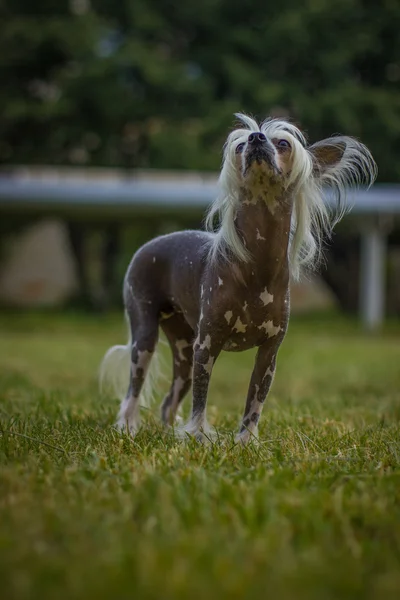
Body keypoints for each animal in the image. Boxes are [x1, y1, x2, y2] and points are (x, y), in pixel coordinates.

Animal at [101, 112, 376, 442]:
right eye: (240, 145)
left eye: (283, 143)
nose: (256, 138)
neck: (259, 267)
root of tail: (150, 243)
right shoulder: (207, 344)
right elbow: (201, 400)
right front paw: (198, 436)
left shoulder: (269, 351)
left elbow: (254, 402)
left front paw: (246, 441)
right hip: (146, 335)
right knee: (133, 390)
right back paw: (128, 427)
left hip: (183, 347)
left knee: (169, 401)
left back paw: (168, 432)